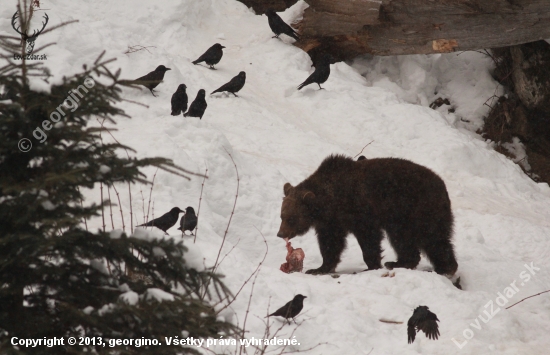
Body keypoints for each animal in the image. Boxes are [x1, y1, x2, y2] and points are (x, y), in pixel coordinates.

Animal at [278, 154, 460, 276]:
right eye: (282, 216)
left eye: (291, 218)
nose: (280, 233)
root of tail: (443, 186)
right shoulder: (331, 222)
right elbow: (330, 244)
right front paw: (318, 268)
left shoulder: (361, 210)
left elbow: (369, 238)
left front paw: (371, 265)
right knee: (405, 240)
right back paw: (401, 262)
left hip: (417, 209)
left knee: (432, 238)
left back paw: (444, 268)